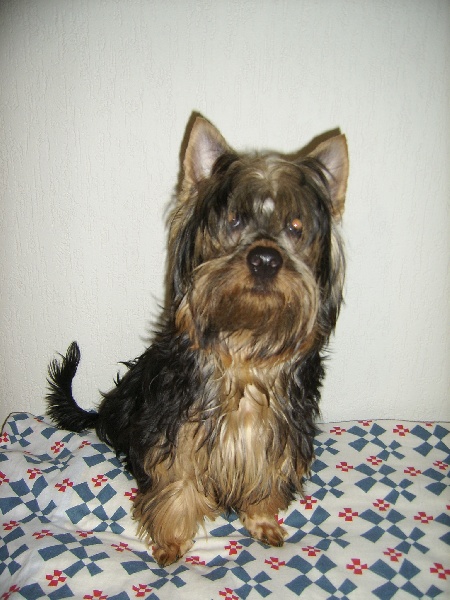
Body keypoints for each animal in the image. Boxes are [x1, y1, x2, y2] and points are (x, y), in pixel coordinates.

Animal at [46, 115, 348, 566]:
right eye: (235, 220)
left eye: (295, 228)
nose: (265, 259)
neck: (243, 347)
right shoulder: (176, 427)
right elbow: (177, 483)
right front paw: (171, 541)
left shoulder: (277, 432)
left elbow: (265, 475)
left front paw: (262, 520)